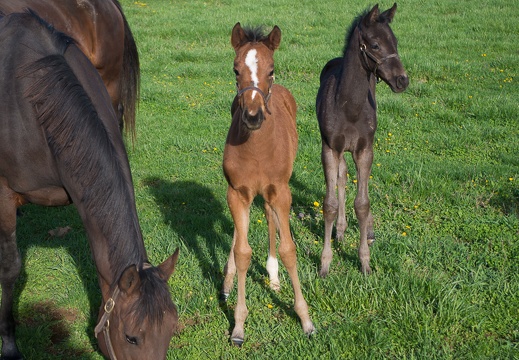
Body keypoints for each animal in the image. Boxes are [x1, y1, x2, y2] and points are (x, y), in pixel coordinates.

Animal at [316, 3, 410, 276]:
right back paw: (340, 231)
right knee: (342, 177)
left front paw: (365, 261)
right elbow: (330, 203)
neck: (349, 107)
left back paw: (366, 230)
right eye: (376, 45)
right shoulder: (329, 148)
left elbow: (363, 203)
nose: (403, 80)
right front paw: (325, 263)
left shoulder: (365, 150)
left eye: (395, 42)